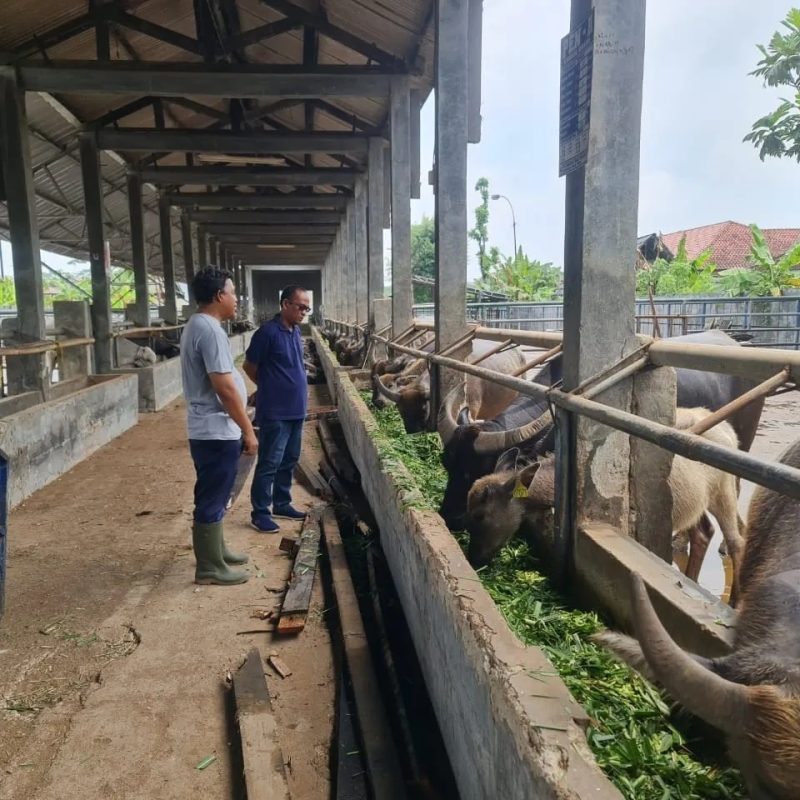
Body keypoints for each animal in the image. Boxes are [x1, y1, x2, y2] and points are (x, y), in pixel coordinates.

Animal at [466, 410, 748, 604]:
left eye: (480, 515)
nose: (473, 558)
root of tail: (730, 432)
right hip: (698, 504)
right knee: (703, 533)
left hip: (724, 491)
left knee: (736, 541)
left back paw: (735, 601)